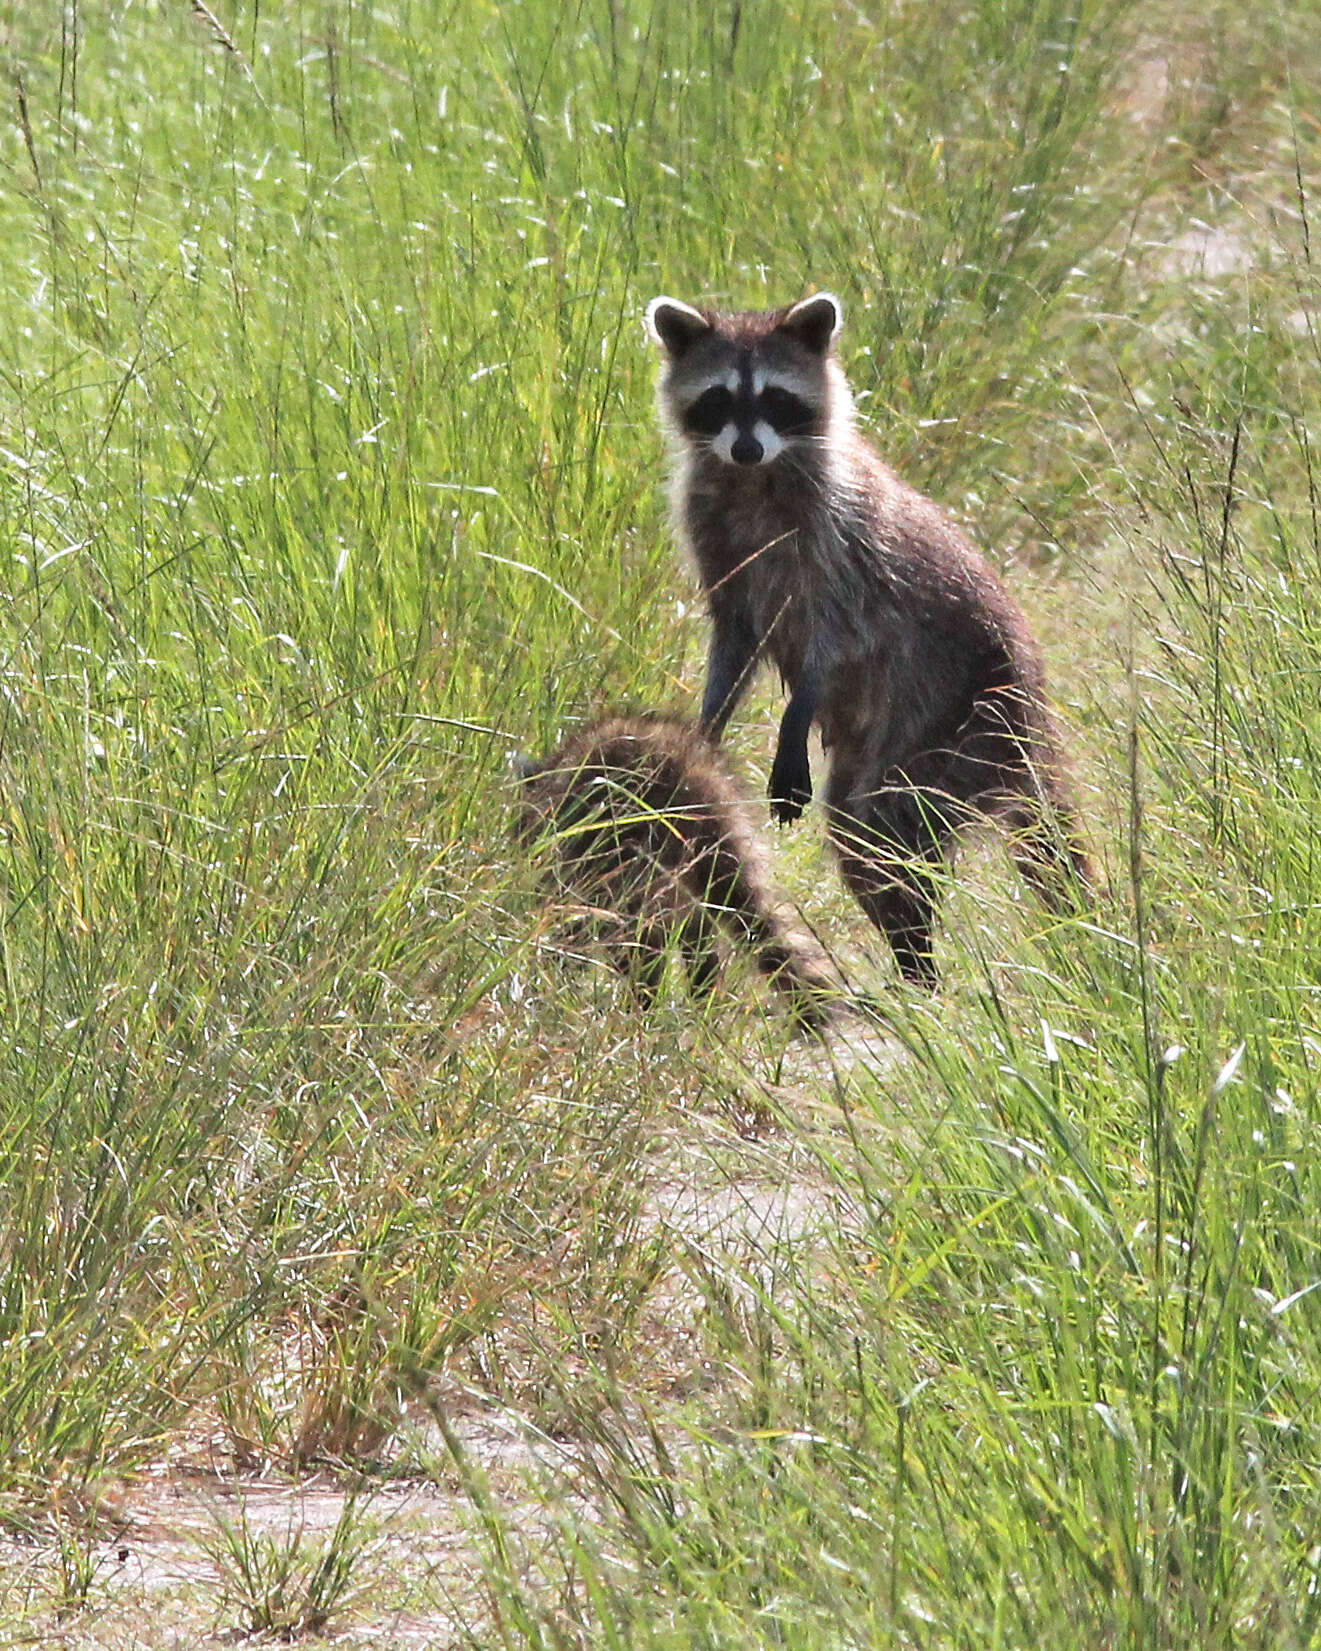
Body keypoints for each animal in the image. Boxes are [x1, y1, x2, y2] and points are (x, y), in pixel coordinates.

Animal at [643, 290, 1089, 983]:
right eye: (718, 398)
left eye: (775, 398)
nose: (745, 449)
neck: (753, 481)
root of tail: (1033, 725)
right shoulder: (714, 533)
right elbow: (735, 639)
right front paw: (708, 722)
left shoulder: (847, 542)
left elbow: (838, 638)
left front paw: (797, 709)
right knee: (860, 841)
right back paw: (912, 964)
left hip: (953, 726)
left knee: (884, 832)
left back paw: (918, 966)